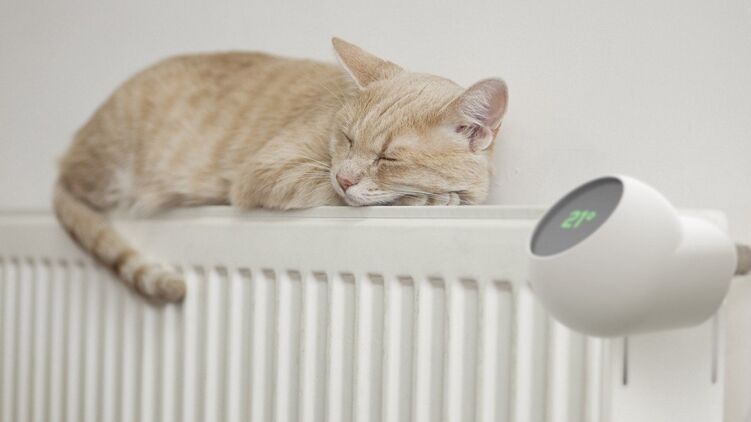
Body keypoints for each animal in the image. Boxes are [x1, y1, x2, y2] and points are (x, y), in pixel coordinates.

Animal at [53, 38, 509, 302]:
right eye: (347, 138)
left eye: (388, 158)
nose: (345, 176)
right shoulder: (269, 171)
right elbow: (341, 194)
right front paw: (431, 197)